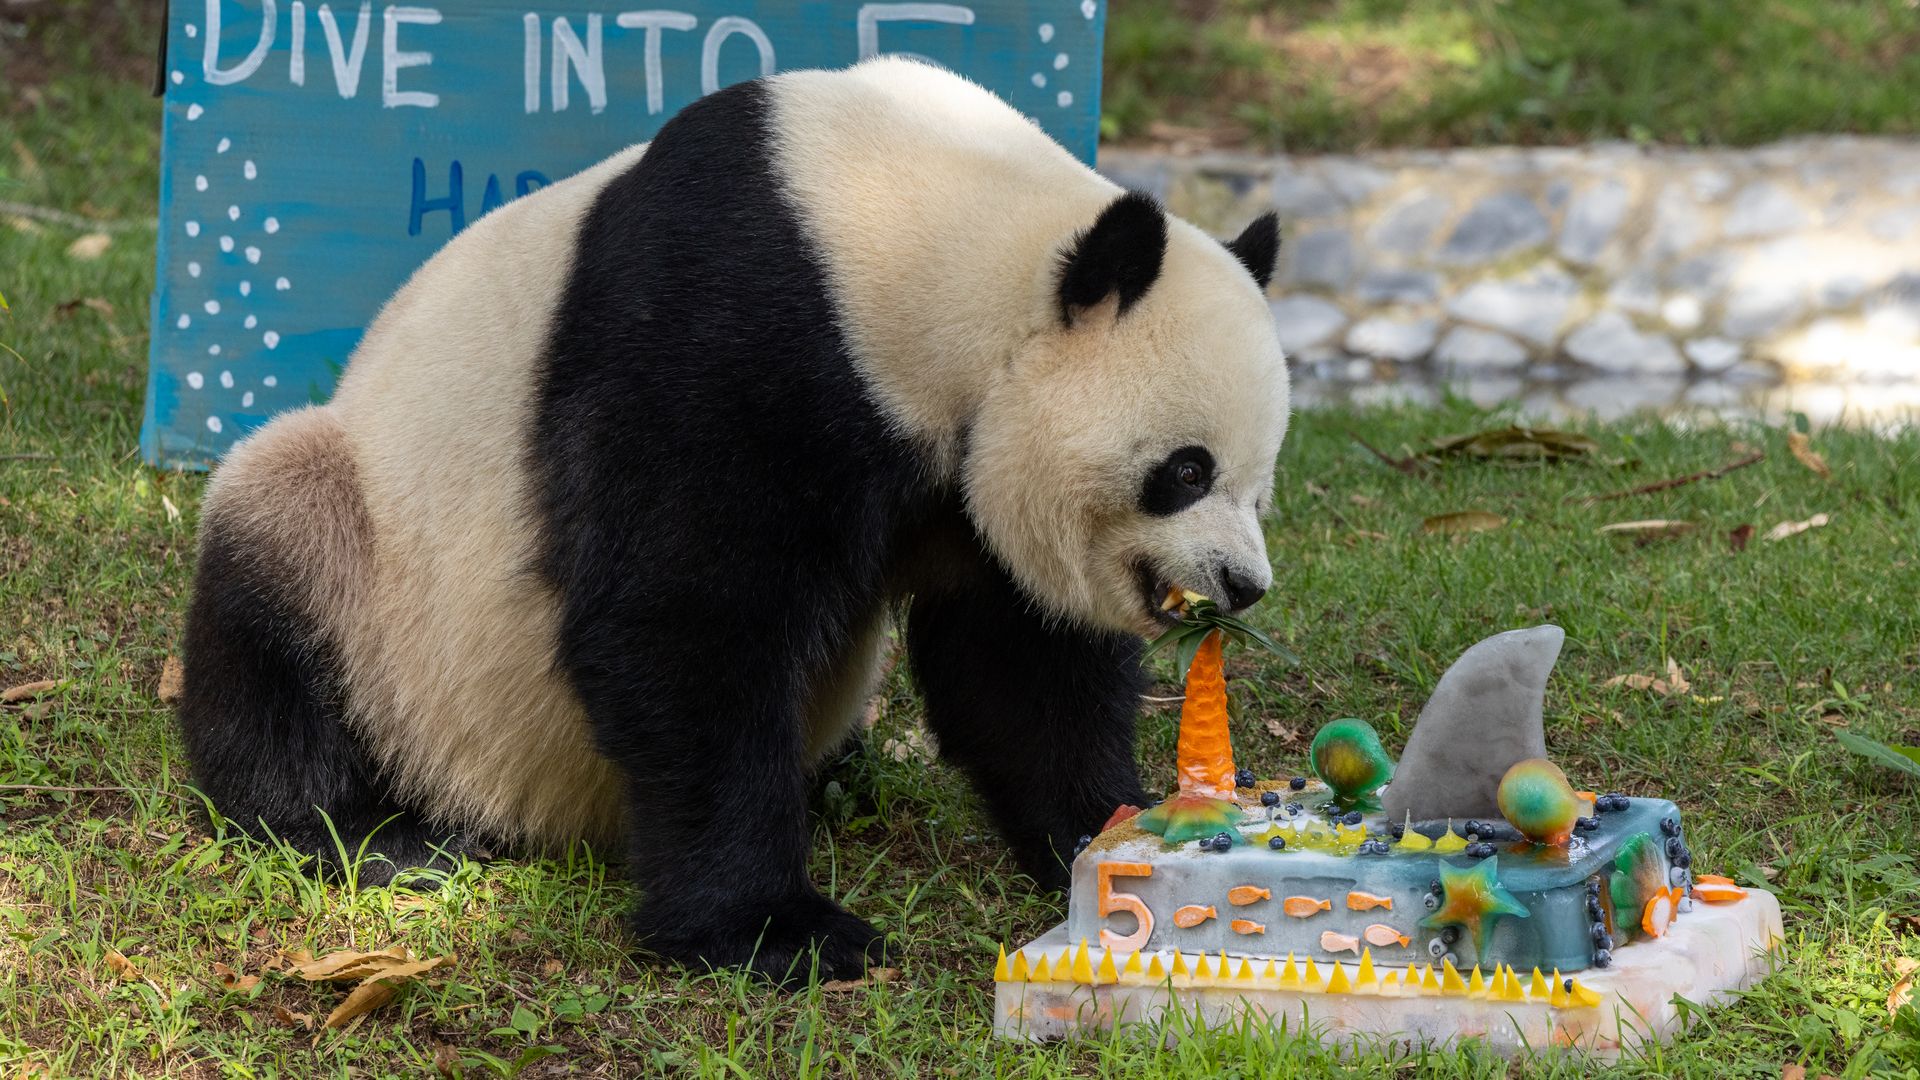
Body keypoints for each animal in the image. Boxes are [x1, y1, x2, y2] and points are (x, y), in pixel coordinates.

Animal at [177, 57, 1290, 982]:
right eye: (1184, 471)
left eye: (1260, 483)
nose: (1242, 587)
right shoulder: (739, 319)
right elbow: (686, 618)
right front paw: (778, 932)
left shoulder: (956, 460)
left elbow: (1017, 656)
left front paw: (1107, 833)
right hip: (381, 584)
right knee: (278, 558)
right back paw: (368, 832)